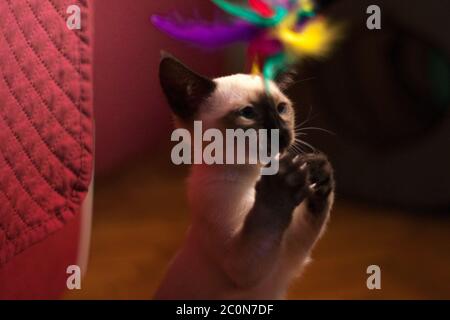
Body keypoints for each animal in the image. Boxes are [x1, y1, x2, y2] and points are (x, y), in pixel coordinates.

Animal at [155, 53, 334, 300]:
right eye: (248, 113)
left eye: (281, 108)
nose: (282, 133)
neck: (254, 174)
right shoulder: (244, 265)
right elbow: (266, 218)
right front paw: (282, 184)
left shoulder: (289, 257)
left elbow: (314, 218)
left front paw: (317, 168)